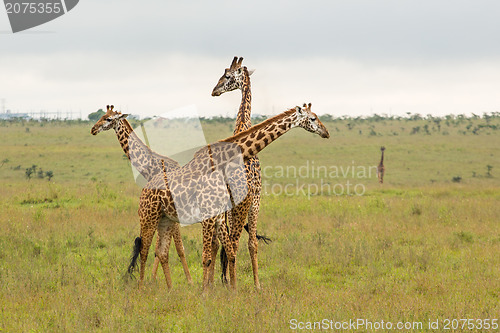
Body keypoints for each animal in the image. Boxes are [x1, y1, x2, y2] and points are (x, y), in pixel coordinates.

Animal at [89, 105, 192, 284]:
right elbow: (162, 248)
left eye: (108, 119)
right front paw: (153, 278)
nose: (93, 129)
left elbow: (178, 248)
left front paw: (189, 281)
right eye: (101, 115)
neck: (152, 167)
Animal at [138, 102, 328, 290]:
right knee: (144, 250)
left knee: (162, 252)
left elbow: (229, 252)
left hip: (166, 219)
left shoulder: (219, 217)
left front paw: (231, 290)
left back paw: (170, 290)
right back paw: (141, 288)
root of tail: (144, 189)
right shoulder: (208, 216)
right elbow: (207, 256)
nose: (326, 132)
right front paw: (205, 292)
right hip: (148, 218)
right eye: (313, 118)